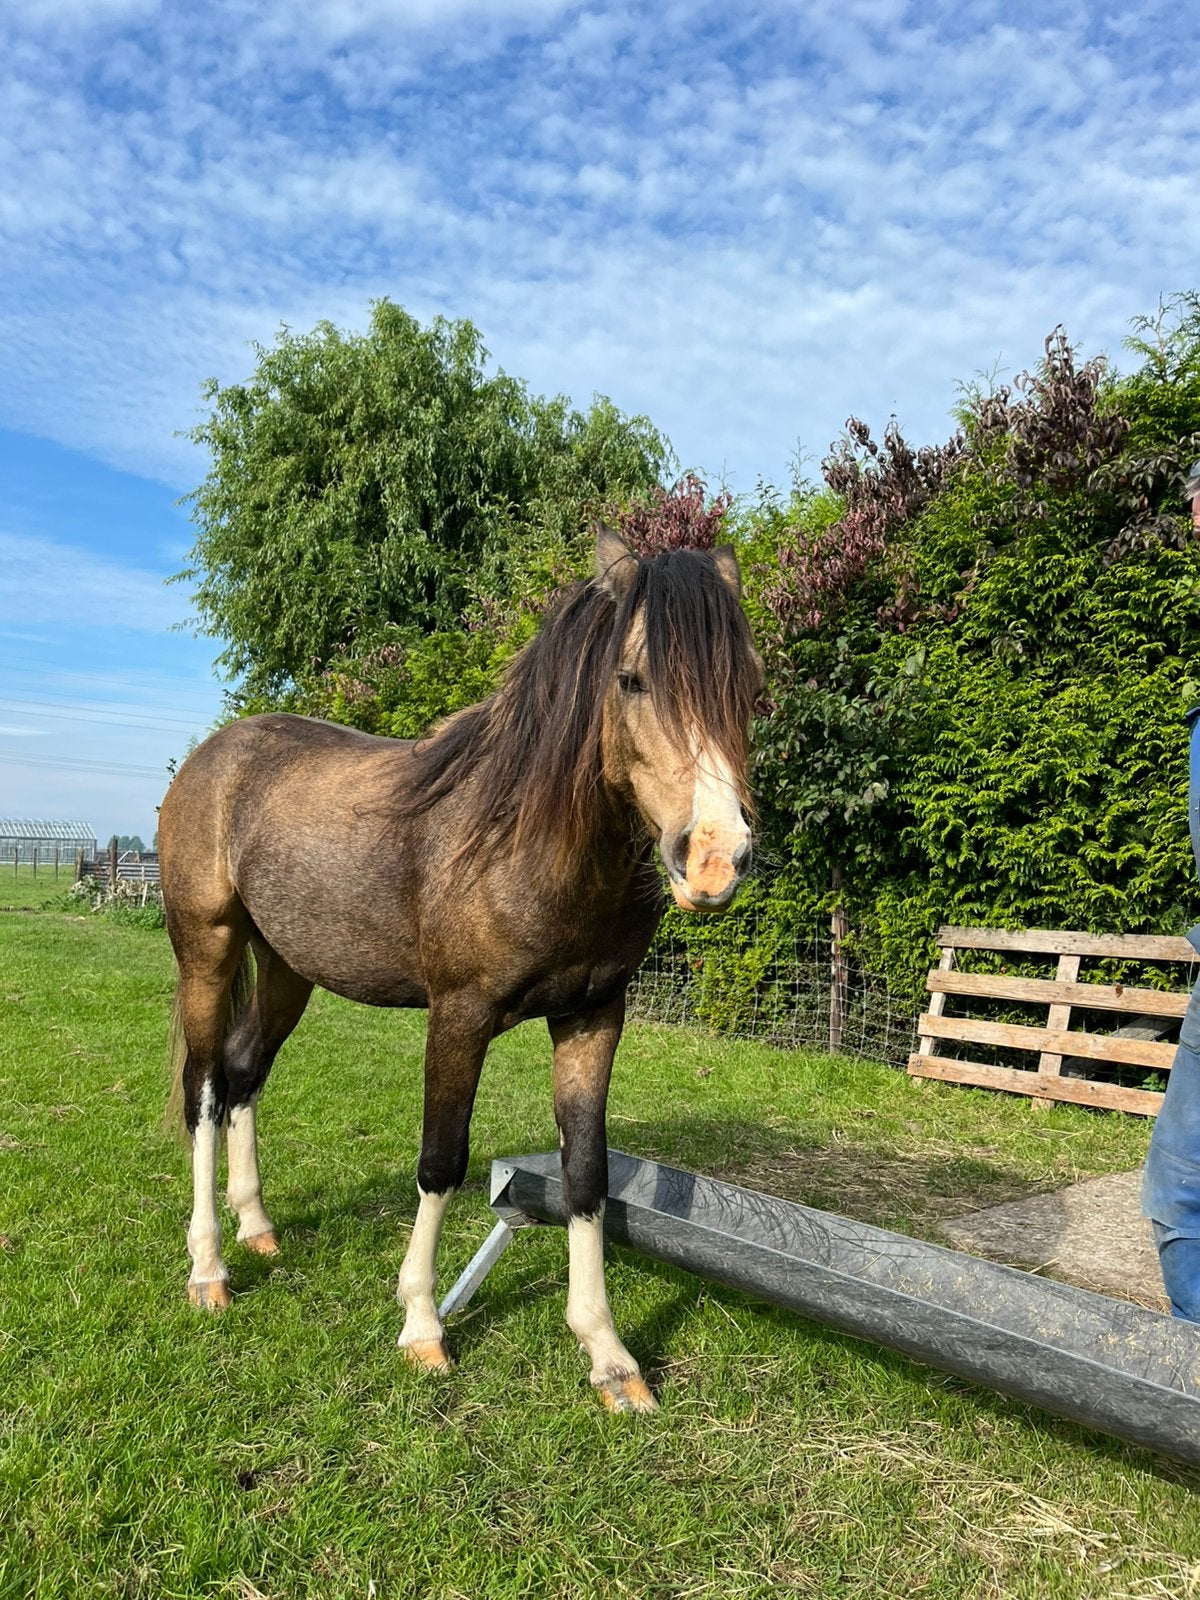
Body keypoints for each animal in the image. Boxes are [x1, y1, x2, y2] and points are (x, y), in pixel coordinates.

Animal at [159, 525, 760, 1413]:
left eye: (750, 686)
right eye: (631, 678)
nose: (715, 861)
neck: (527, 841)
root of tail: (213, 756)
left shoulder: (592, 1016)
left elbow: (588, 1175)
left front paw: (609, 1356)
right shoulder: (459, 1016)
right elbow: (441, 1161)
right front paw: (421, 1325)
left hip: (287, 969)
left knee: (242, 1074)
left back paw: (258, 1229)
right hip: (208, 949)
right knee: (203, 1089)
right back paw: (208, 1269)